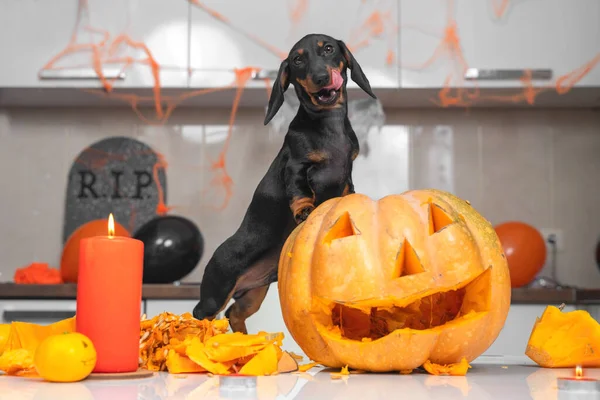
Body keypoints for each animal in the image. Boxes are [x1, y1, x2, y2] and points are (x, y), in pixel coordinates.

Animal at [193, 32, 376, 332]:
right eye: (298, 60)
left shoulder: (347, 171)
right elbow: (300, 191)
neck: (328, 123)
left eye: (328, 49)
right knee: (202, 314)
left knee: (235, 313)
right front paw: (304, 211)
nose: (321, 77)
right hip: (216, 292)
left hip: (254, 293)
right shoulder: (295, 166)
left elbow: (347, 190)